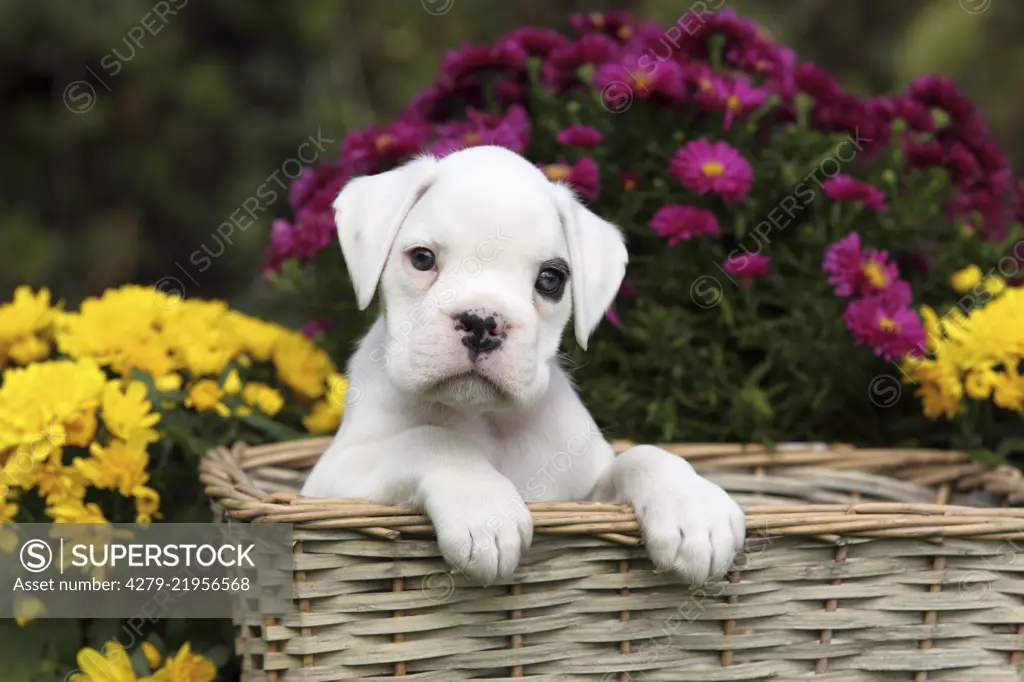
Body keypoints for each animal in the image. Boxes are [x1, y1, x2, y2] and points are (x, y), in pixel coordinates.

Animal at [301, 143, 745, 585]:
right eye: (422, 258)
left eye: (550, 279)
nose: (482, 323)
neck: (485, 418)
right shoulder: (334, 480)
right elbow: (431, 440)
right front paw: (484, 506)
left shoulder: (582, 497)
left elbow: (642, 455)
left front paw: (693, 507)